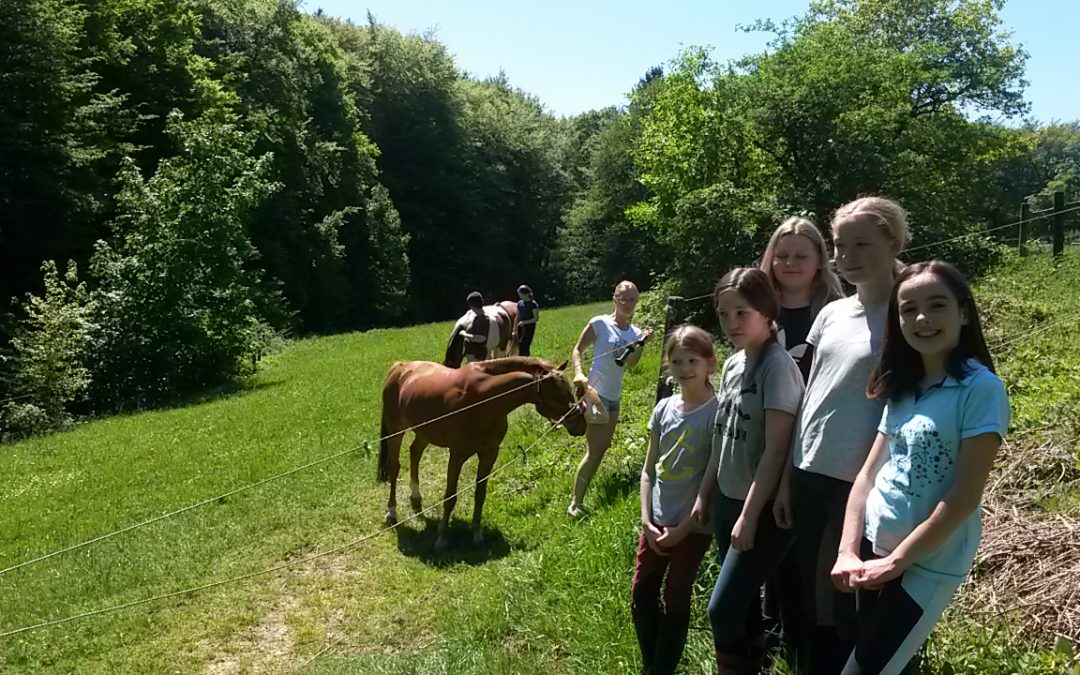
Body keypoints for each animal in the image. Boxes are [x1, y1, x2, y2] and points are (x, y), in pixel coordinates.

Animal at [378, 356, 587, 550]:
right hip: (396, 430)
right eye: (557, 395)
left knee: (415, 453)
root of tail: (400, 367)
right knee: (394, 467)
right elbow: (450, 496)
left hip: (424, 432)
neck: (483, 400)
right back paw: (391, 511)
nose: (580, 424)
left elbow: (480, 493)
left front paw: (477, 534)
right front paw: (442, 538)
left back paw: (415, 496)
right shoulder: (457, 455)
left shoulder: (489, 454)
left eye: (570, 390)